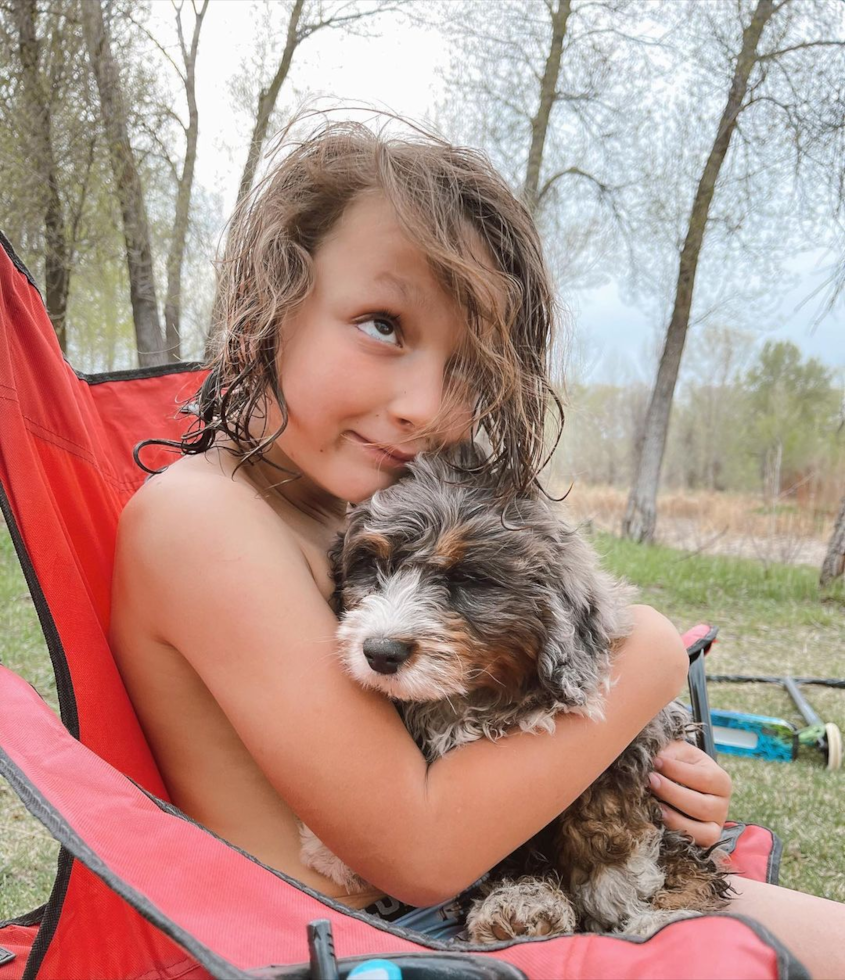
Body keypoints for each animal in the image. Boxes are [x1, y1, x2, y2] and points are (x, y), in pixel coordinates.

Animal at [298, 444, 732, 940]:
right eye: (372, 565)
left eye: (468, 579)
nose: (380, 652)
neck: (477, 698)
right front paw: (330, 851)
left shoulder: (631, 745)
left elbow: (606, 825)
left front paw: (621, 900)